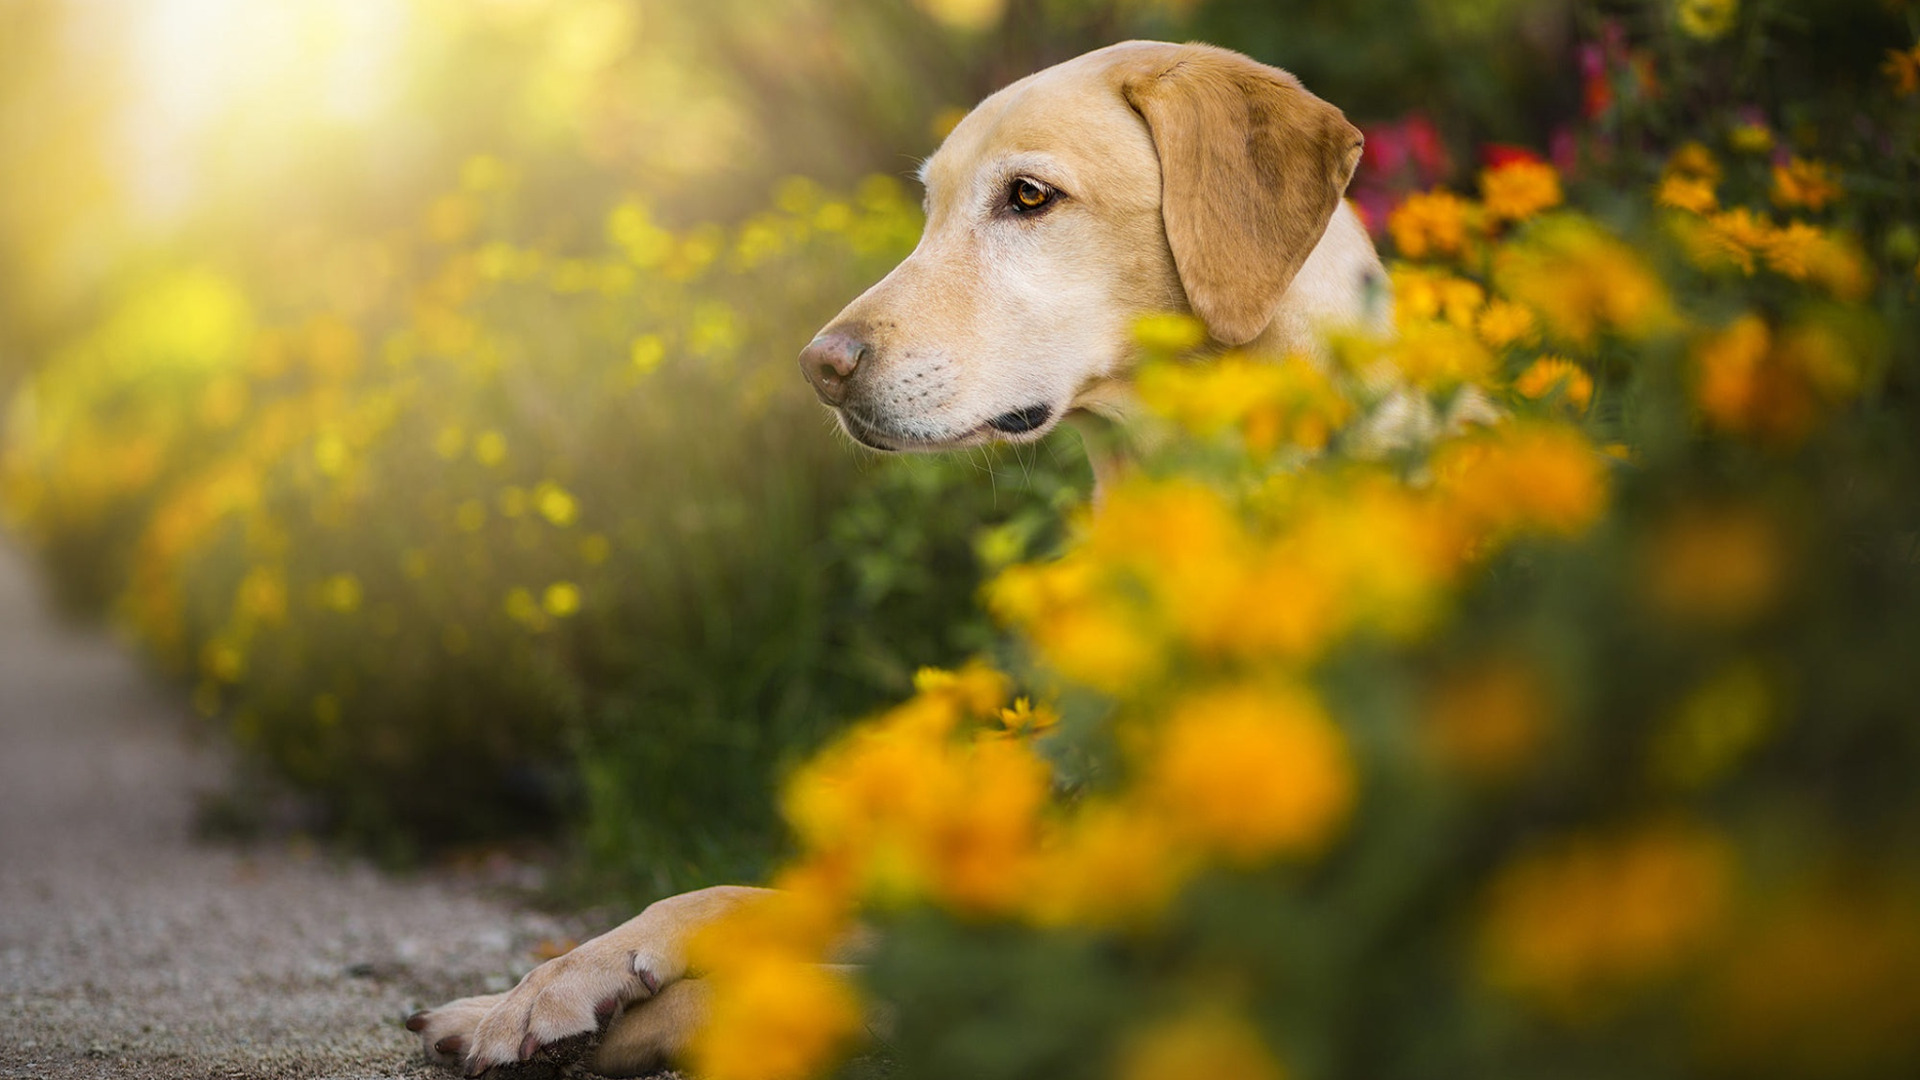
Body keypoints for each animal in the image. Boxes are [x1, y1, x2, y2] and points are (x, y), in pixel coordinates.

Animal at [412, 37, 1390, 1068]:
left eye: (1029, 197)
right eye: (930, 207)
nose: (819, 367)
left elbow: (791, 988)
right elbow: (720, 899)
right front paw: (530, 992)